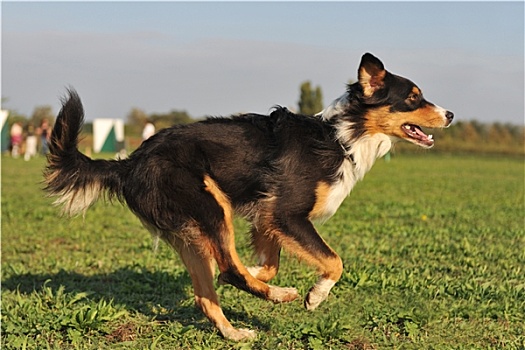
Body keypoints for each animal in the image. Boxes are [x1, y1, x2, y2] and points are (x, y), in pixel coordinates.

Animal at [45, 53, 452, 340]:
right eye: (413, 98)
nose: (450, 113)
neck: (341, 137)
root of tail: (131, 161)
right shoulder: (286, 213)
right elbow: (334, 262)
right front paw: (315, 295)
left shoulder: (266, 215)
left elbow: (269, 263)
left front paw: (261, 273)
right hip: (212, 205)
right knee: (228, 267)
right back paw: (280, 295)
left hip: (192, 232)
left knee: (207, 292)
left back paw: (235, 331)